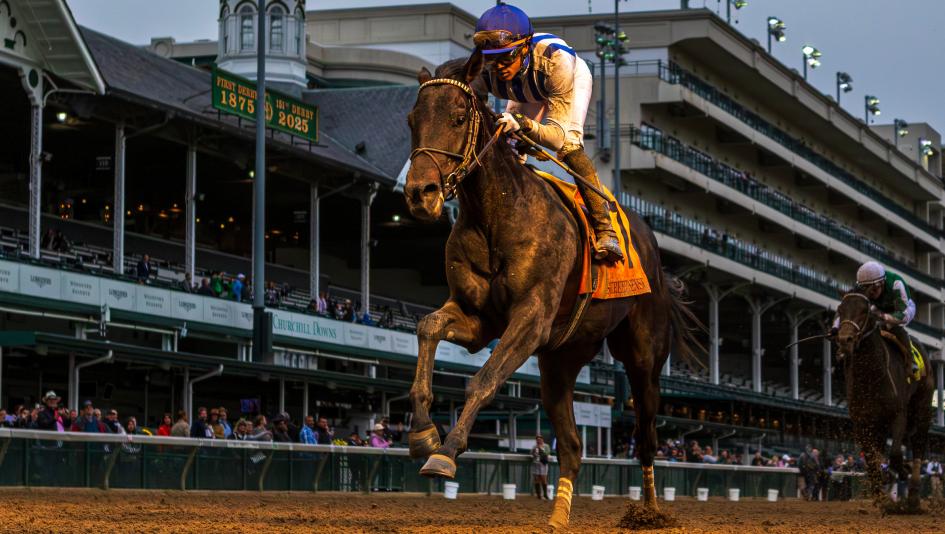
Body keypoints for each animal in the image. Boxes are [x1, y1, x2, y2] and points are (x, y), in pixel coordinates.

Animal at [402, 53, 702, 529]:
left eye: (457, 117)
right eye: (412, 119)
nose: (420, 194)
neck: (498, 213)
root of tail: (653, 249)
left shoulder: (532, 319)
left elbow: (483, 380)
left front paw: (446, 452)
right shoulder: (478, 320)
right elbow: (428, 327)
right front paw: (422, 433)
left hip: (643, 359)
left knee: (646, 436)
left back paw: (650, 513)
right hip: (561, 360)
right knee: (573, 446)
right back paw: (558, 516)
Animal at [835, 291, 934, 510]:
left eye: (864, 311)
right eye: (840, 310)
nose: (845, 339)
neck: (871, 377)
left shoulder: (898, 414)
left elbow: (896, 452)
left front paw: (901, 471)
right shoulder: (863, 422)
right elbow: (872, 460)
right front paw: (881, 497)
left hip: (922, 408)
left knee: (919, 443)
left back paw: (913, 495)